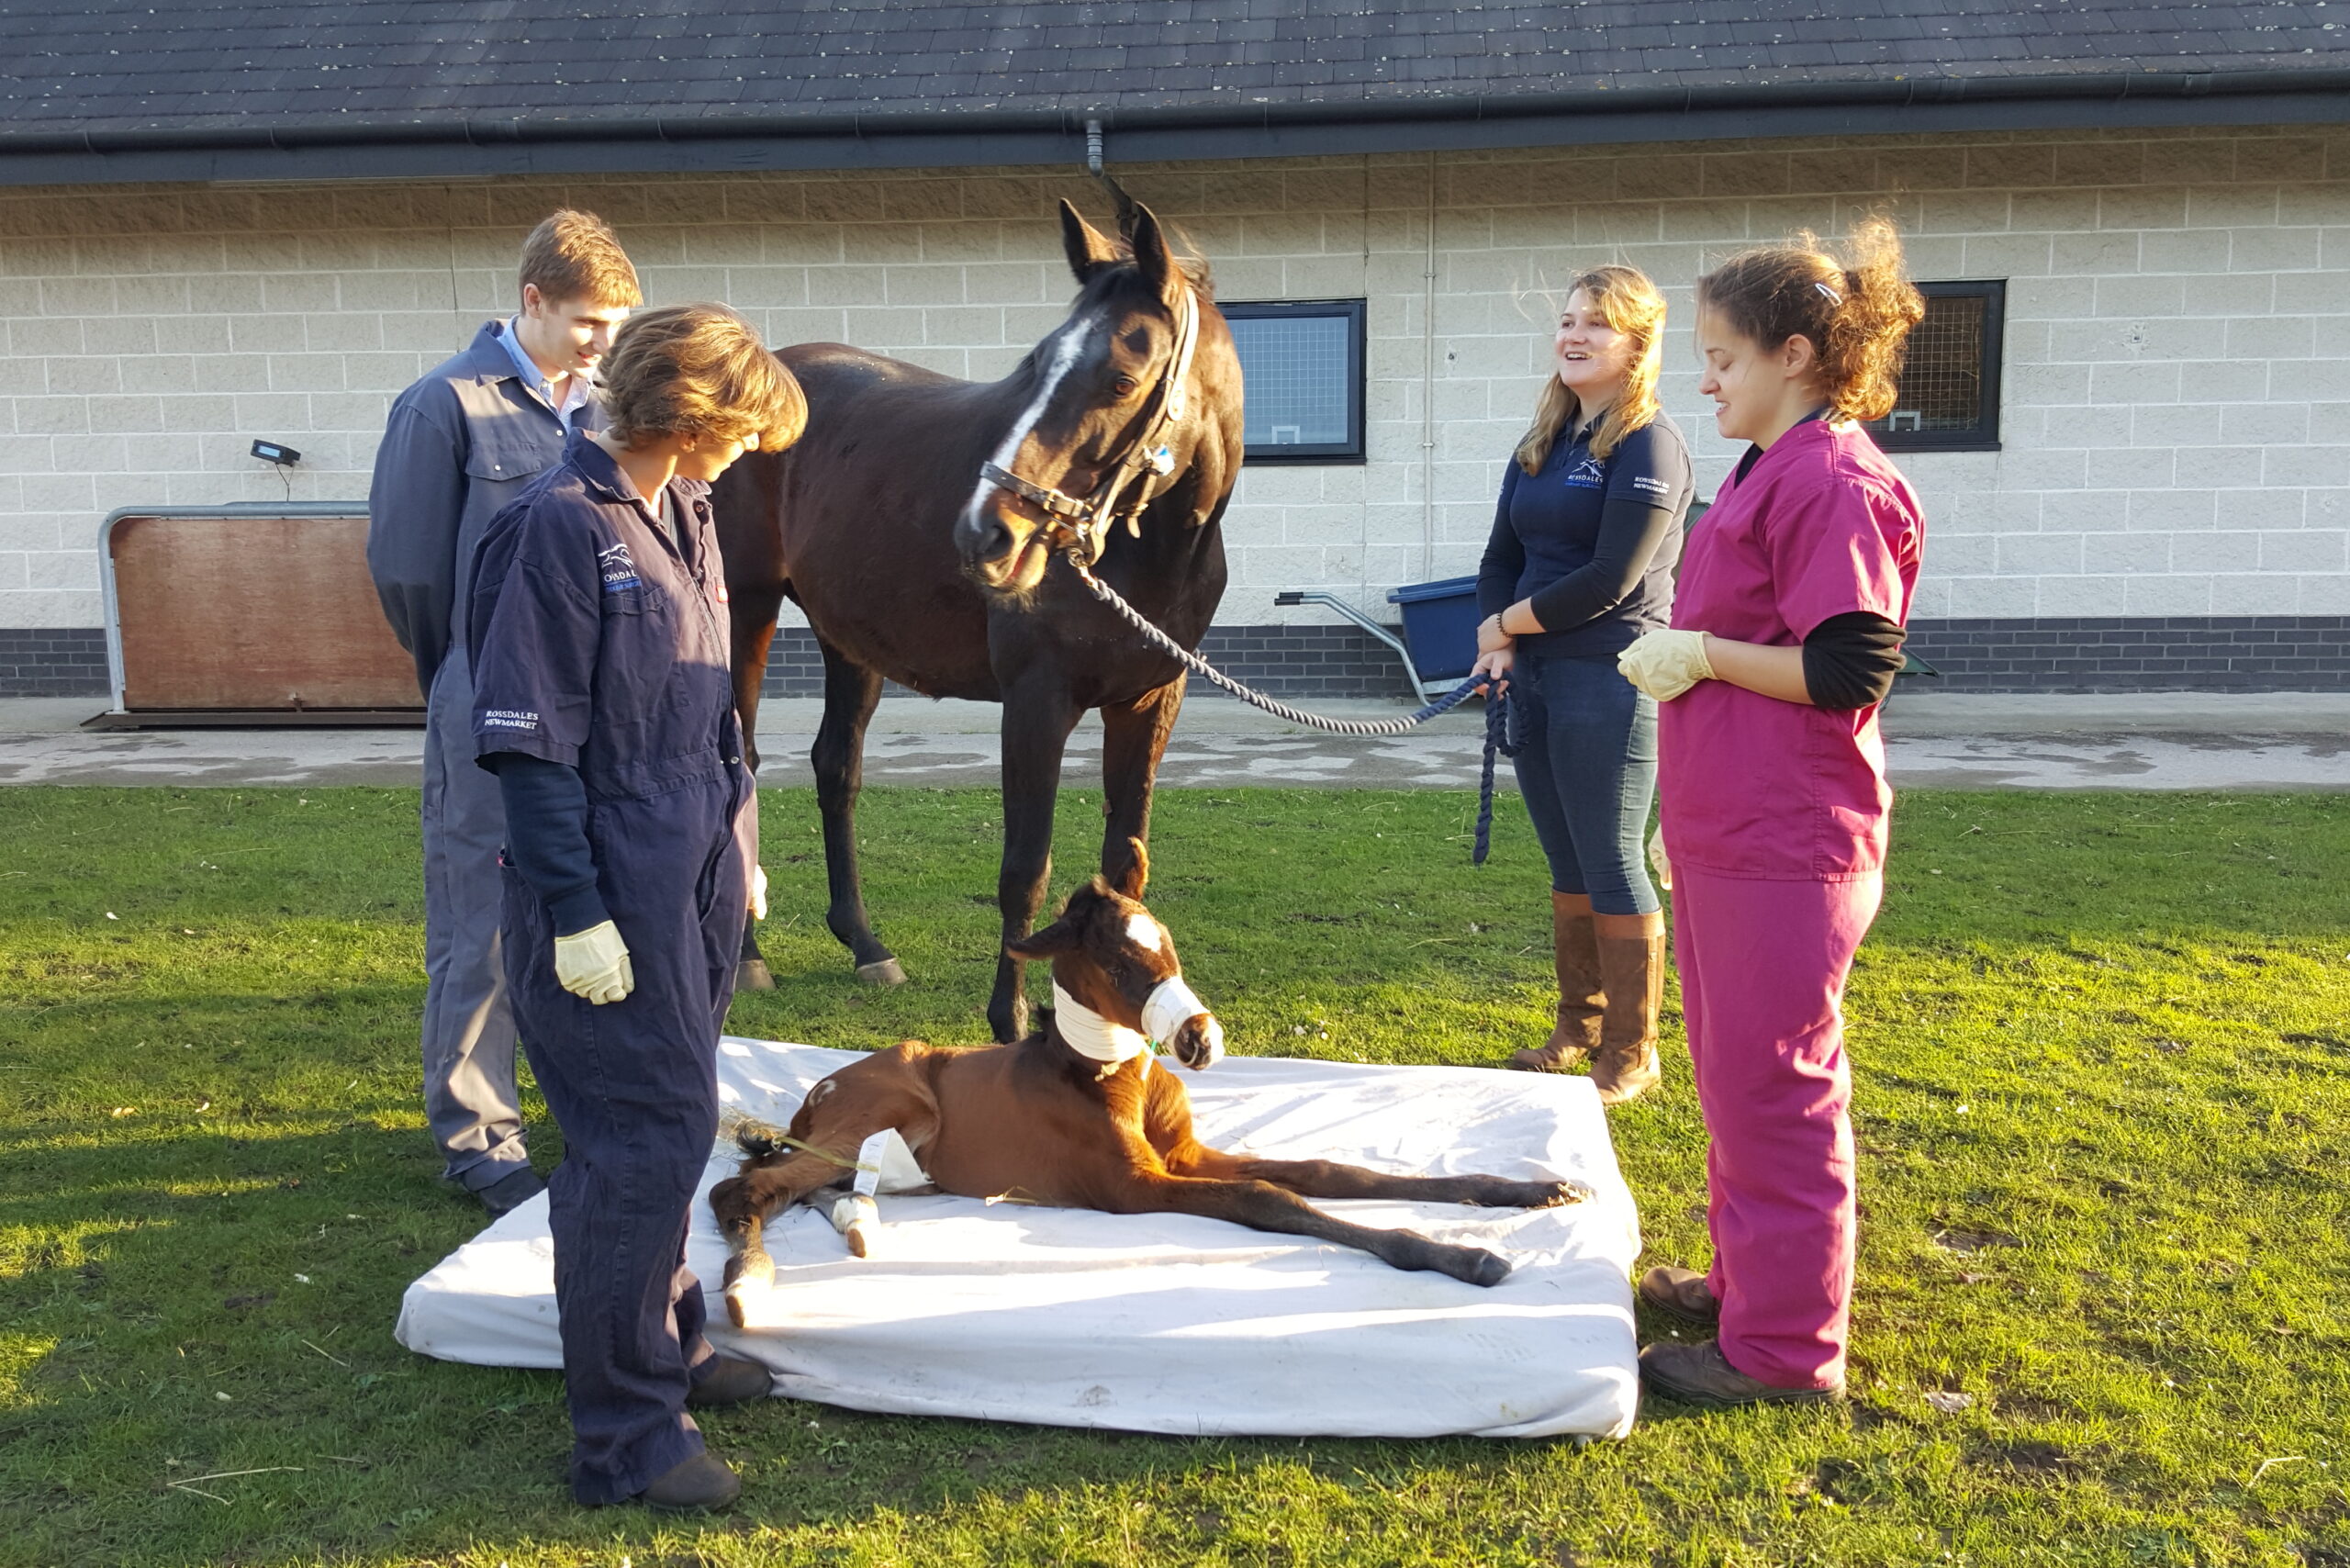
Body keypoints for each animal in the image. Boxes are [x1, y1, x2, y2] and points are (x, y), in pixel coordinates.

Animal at [695, 846, 1579, 1326]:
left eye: (1170, 942)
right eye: (1121, 962)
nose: (1201, 1040)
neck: (1111, 1076)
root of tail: (818, 1090)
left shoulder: (1184, 1157)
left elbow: (1328, 1171)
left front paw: (1528, 1191)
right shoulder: (1133, 1187)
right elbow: (1271, 1198)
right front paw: (1465, 1257)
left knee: (788, 1185)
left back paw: (853, 1222)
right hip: (887, 1111)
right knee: (740, 1191)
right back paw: (749, 1284)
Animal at [710, 202, 1249, 1048]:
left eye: (1121, 378)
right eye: (1036, 364)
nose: (985, 532)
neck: (1151, 557)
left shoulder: (1150, 702)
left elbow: (1125, 864)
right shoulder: (1036, 704)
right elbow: (1025, 868)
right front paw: (1013, 1018)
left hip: (849, 640)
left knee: (837, 769)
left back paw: (865, 944)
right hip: (749, 607)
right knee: (746, 767)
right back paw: (749, 961)